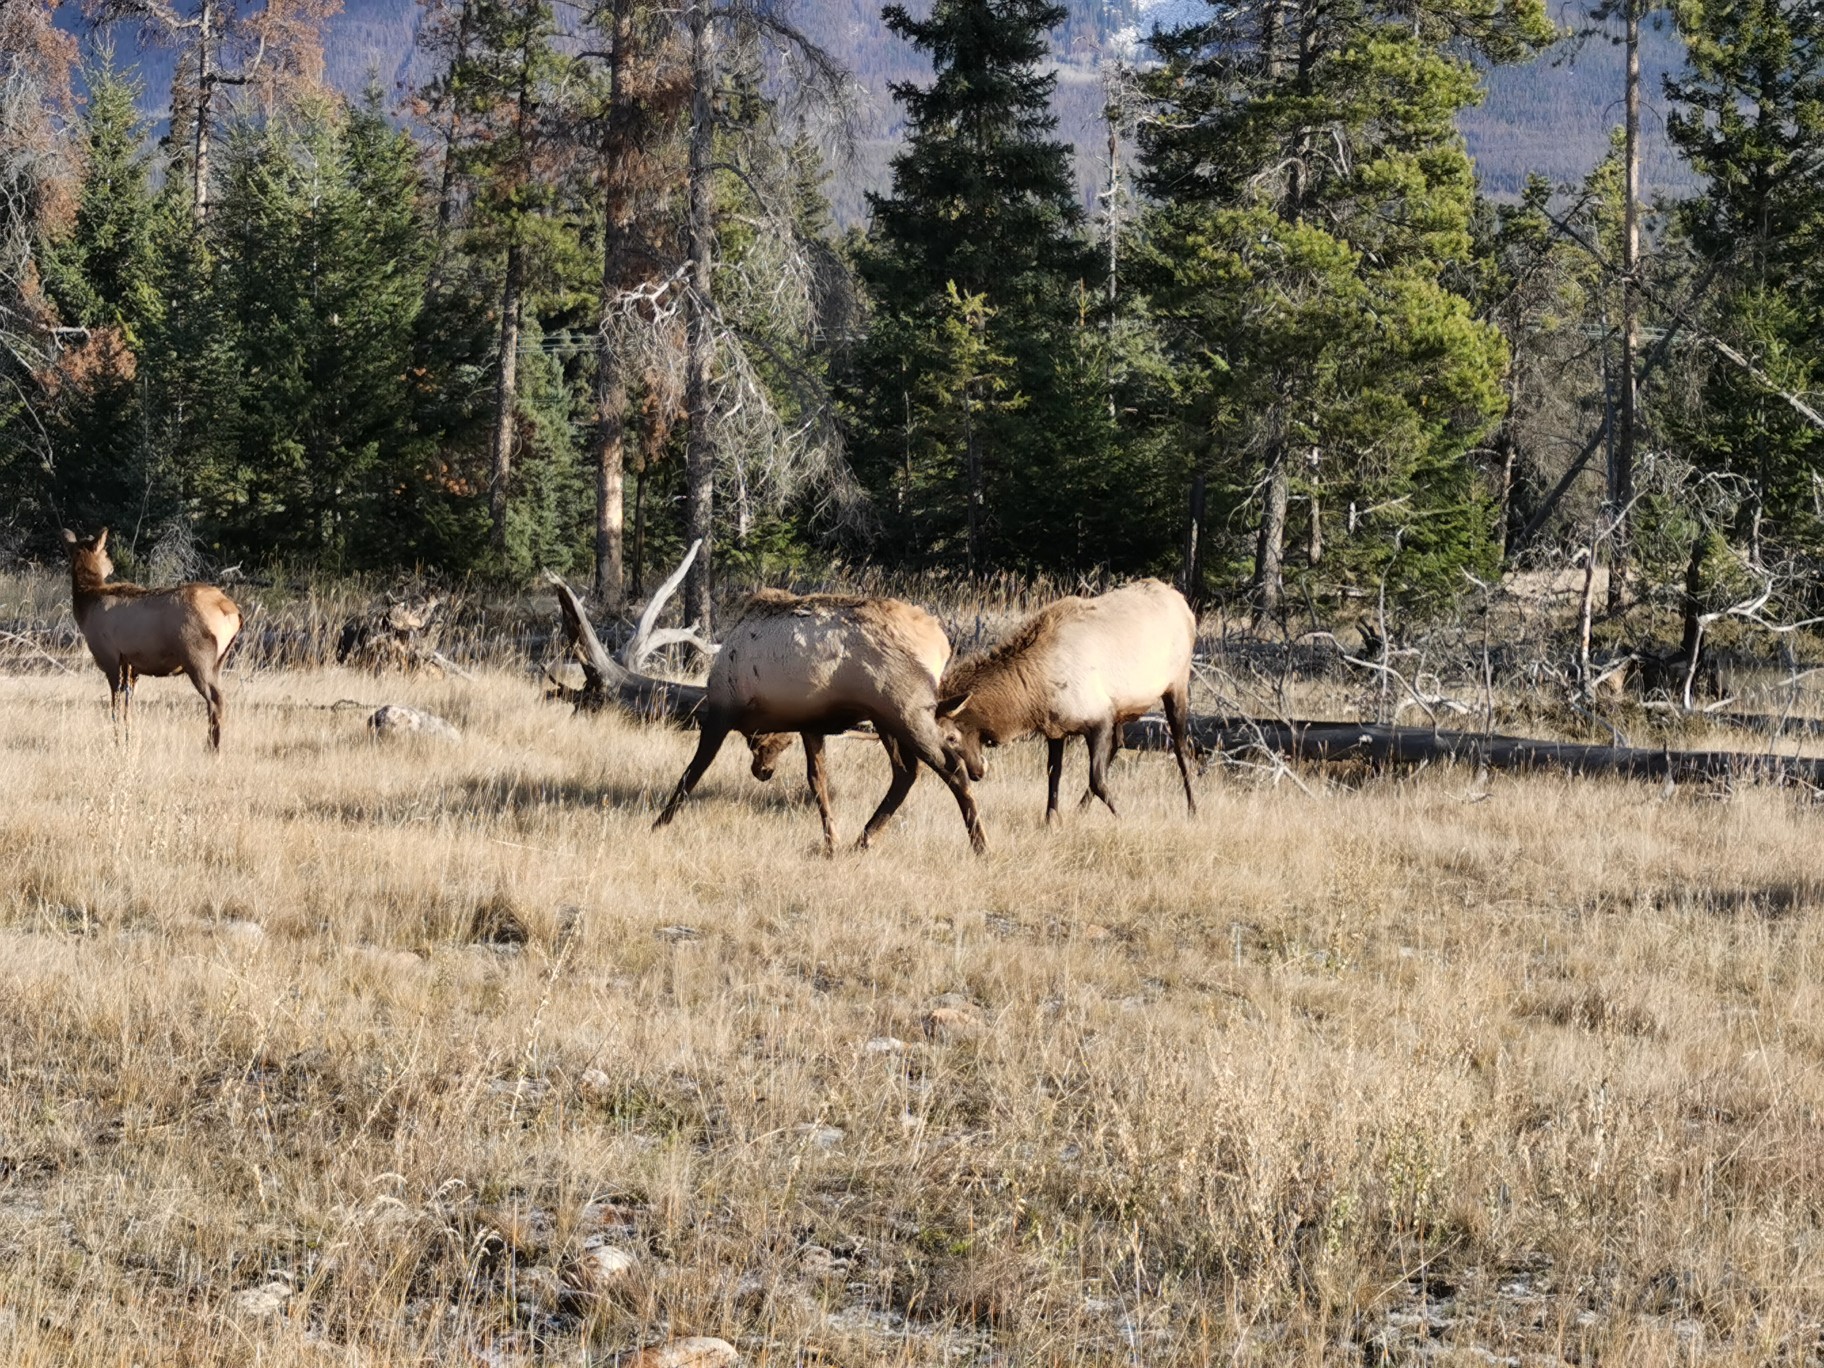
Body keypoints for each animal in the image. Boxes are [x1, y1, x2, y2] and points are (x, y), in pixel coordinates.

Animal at [62, 528, 244, 751]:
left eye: (104, 553)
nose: (111, 565)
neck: (86, 606)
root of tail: (233, 611)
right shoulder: (131, 666)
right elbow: (128, 708)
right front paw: (128, 741)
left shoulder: (110, 658)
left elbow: (115, 705)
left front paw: (116, 743)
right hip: (219, 661)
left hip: (198, 658)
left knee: (216, 699)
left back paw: (213, 749)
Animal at [652, 590, 984, 857]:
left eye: (766, 745)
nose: (763, 772)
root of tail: (941, 641)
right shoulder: (811, 725)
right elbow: (817, 782)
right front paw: (831, 842)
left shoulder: (722, 710)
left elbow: (691, 772)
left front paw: (659, 824)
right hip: (886, 719)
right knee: (906, 772)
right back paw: (864, 839)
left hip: (905, 711)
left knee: (950, 767)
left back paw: (980, 844)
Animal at [941, 580, 1196, 824]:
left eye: (951, 737)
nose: (976, 773)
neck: (1035, 694)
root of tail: (1185, 605)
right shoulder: (1057, 730)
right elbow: (1054, 774)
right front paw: (1050, 821)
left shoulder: (1099, 719)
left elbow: (1098, 780)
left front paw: (1124, 817)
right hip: (1123, 708)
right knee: (1119, 742)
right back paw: (1080, 809)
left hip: (1177, 684)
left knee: (1181, 748)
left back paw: (1193, 809)